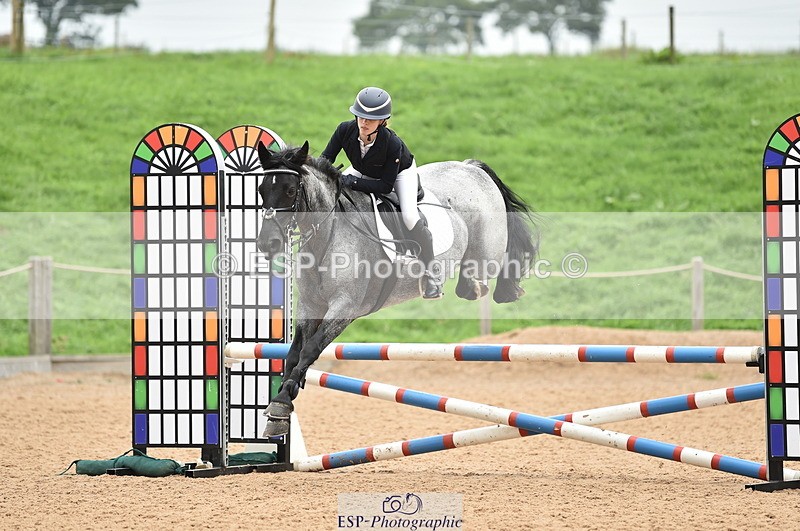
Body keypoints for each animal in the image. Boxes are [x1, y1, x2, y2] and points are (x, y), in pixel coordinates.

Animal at [255, 141, 538, 436]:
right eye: (261, 190)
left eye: (290, 190)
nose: (267, 244)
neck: (328, 235)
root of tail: (470, 167)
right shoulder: (309, 305)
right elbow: (294, 353)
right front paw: (281, 405)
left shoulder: (345, 307)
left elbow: (311, 348)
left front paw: (283, 400)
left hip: (487, 252)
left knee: (493, 265)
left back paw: (496, 288)